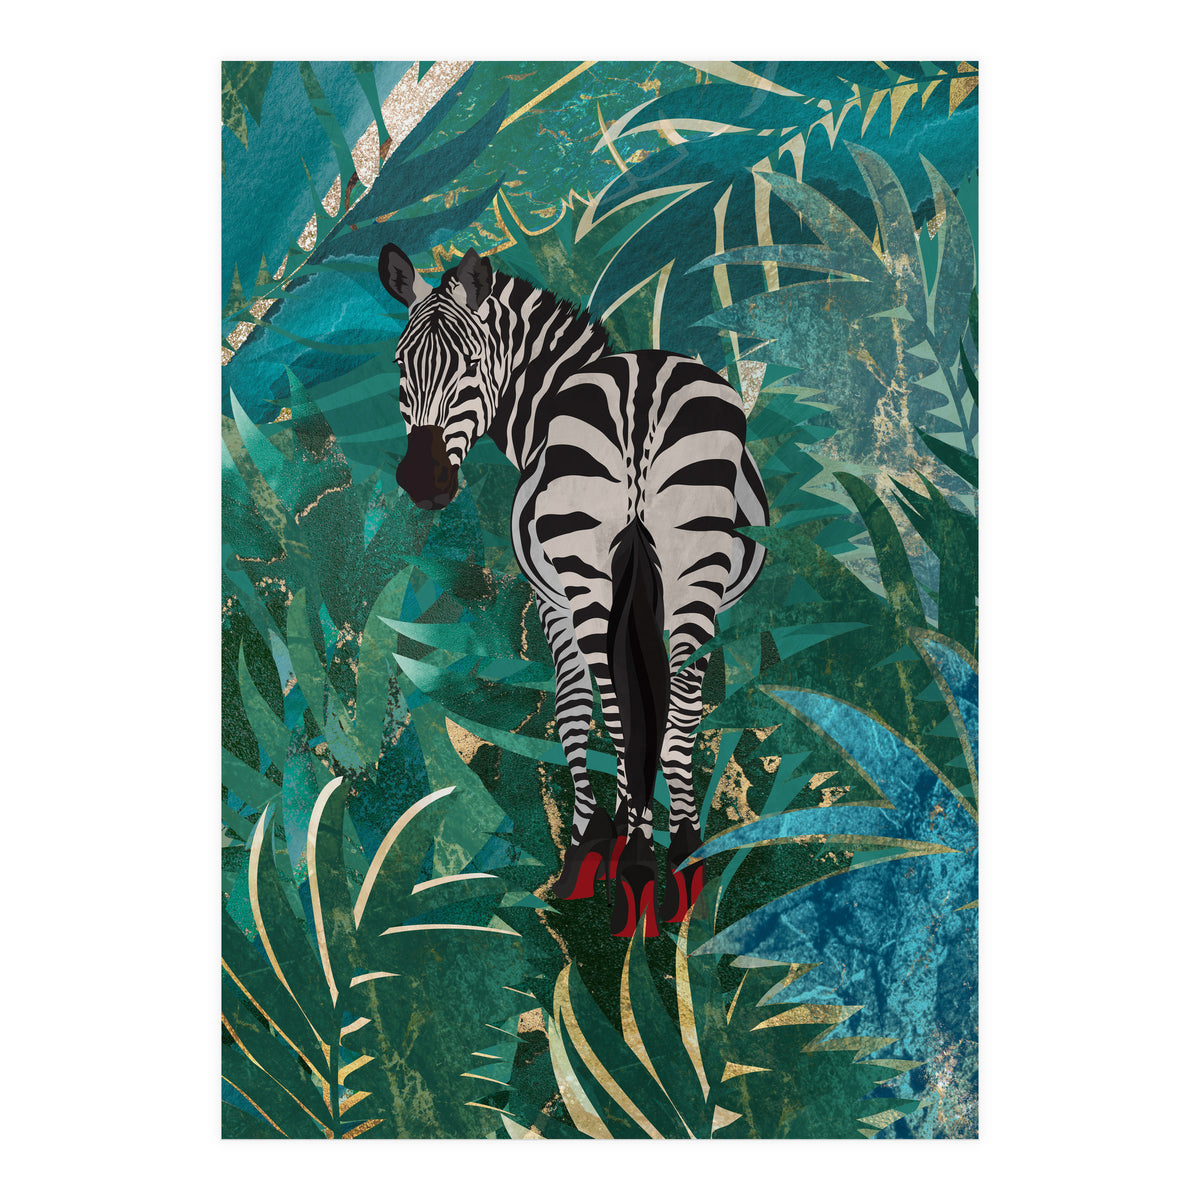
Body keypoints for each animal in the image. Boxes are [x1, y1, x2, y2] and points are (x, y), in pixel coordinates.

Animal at [378, 244, 768, 936]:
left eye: (470, 364)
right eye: (401, 366)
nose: (422, 481)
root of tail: (641, 392)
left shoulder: (552, 600)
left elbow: (574, 709)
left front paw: (591, 846)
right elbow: (664, 708)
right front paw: (638, 837)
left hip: (588, 567)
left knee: (618, 703)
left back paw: (634, 867)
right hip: (693, 563)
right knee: (677, 703)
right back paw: (682, 861)